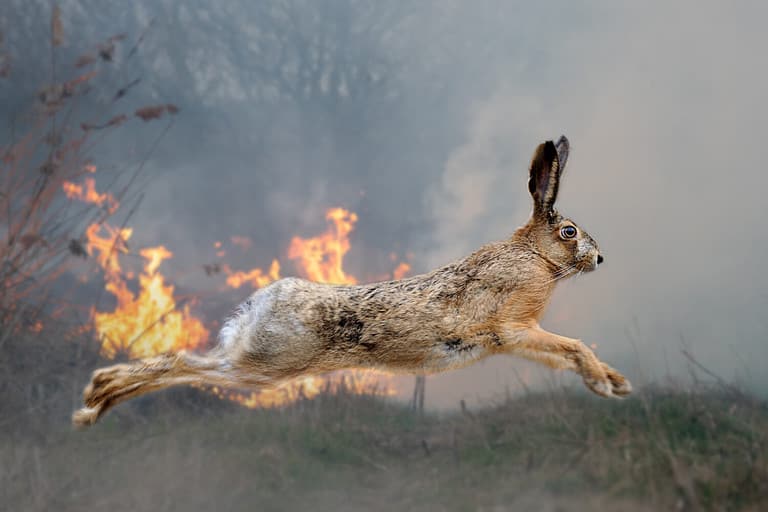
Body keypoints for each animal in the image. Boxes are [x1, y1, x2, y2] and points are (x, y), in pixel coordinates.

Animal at [73, 135, 631, 427]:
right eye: (569, 231)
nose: (601, 258)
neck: (533, 255)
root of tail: (261, 304)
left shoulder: (518, 338)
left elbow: (565, 352)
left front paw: (615, 382)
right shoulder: (513, 328)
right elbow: (573, 347)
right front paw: (606, 384)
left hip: (254, 362)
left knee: (185, 365)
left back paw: (98, 398)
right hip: (264, 368)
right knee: (186, 366)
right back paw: (94, 403)